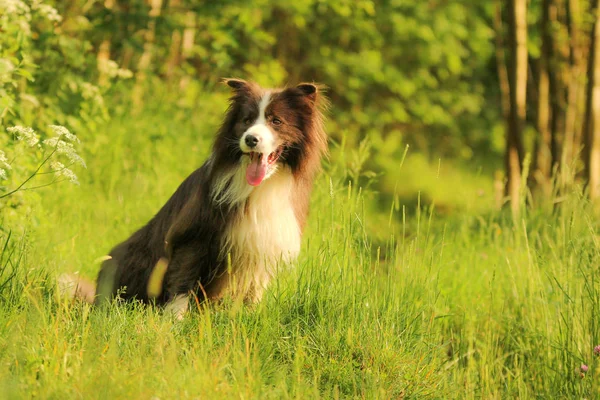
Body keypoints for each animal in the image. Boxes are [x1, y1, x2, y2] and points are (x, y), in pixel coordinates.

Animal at [62, 78, 328, 318]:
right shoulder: (195, 234)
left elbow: (254, 289)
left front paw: (249, 319)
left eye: (276, 121)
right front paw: (175, 323)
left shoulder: (265, 242)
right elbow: (183, 281)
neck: (258, 186)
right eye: (247, 120)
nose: (251, 139)